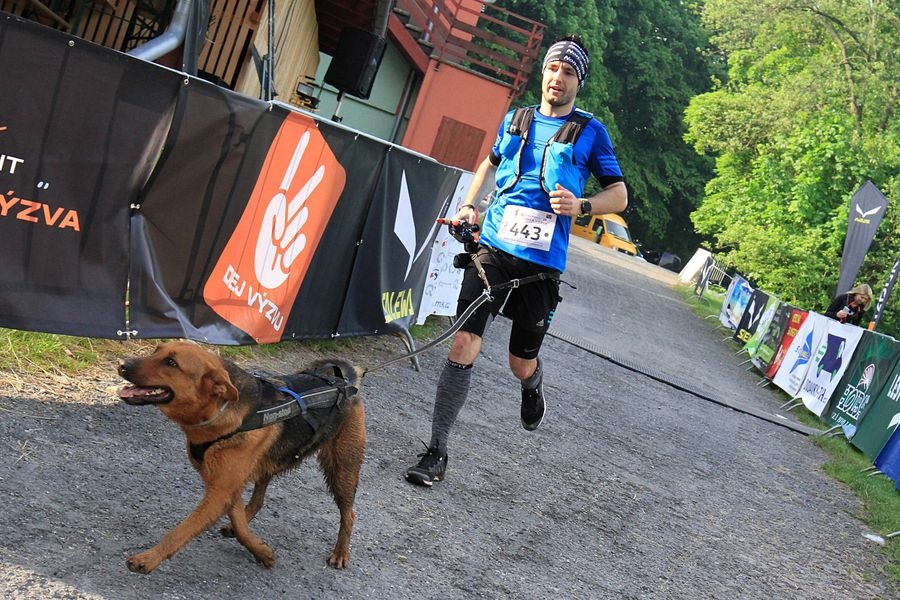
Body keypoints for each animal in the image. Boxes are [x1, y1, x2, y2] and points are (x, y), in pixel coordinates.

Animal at [118, 342, 366, 572]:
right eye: (156, 351)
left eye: (171, 363)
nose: (122, 365)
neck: (218, 411)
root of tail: (345, 381)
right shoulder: (228, 487)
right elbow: (240, 527)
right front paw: (261, 551)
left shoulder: (220, 492)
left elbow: (180, 531)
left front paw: (148, 558)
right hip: (268, 465)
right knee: (258, 500)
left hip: (342, 470)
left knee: (350, 514)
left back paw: (340, 552)